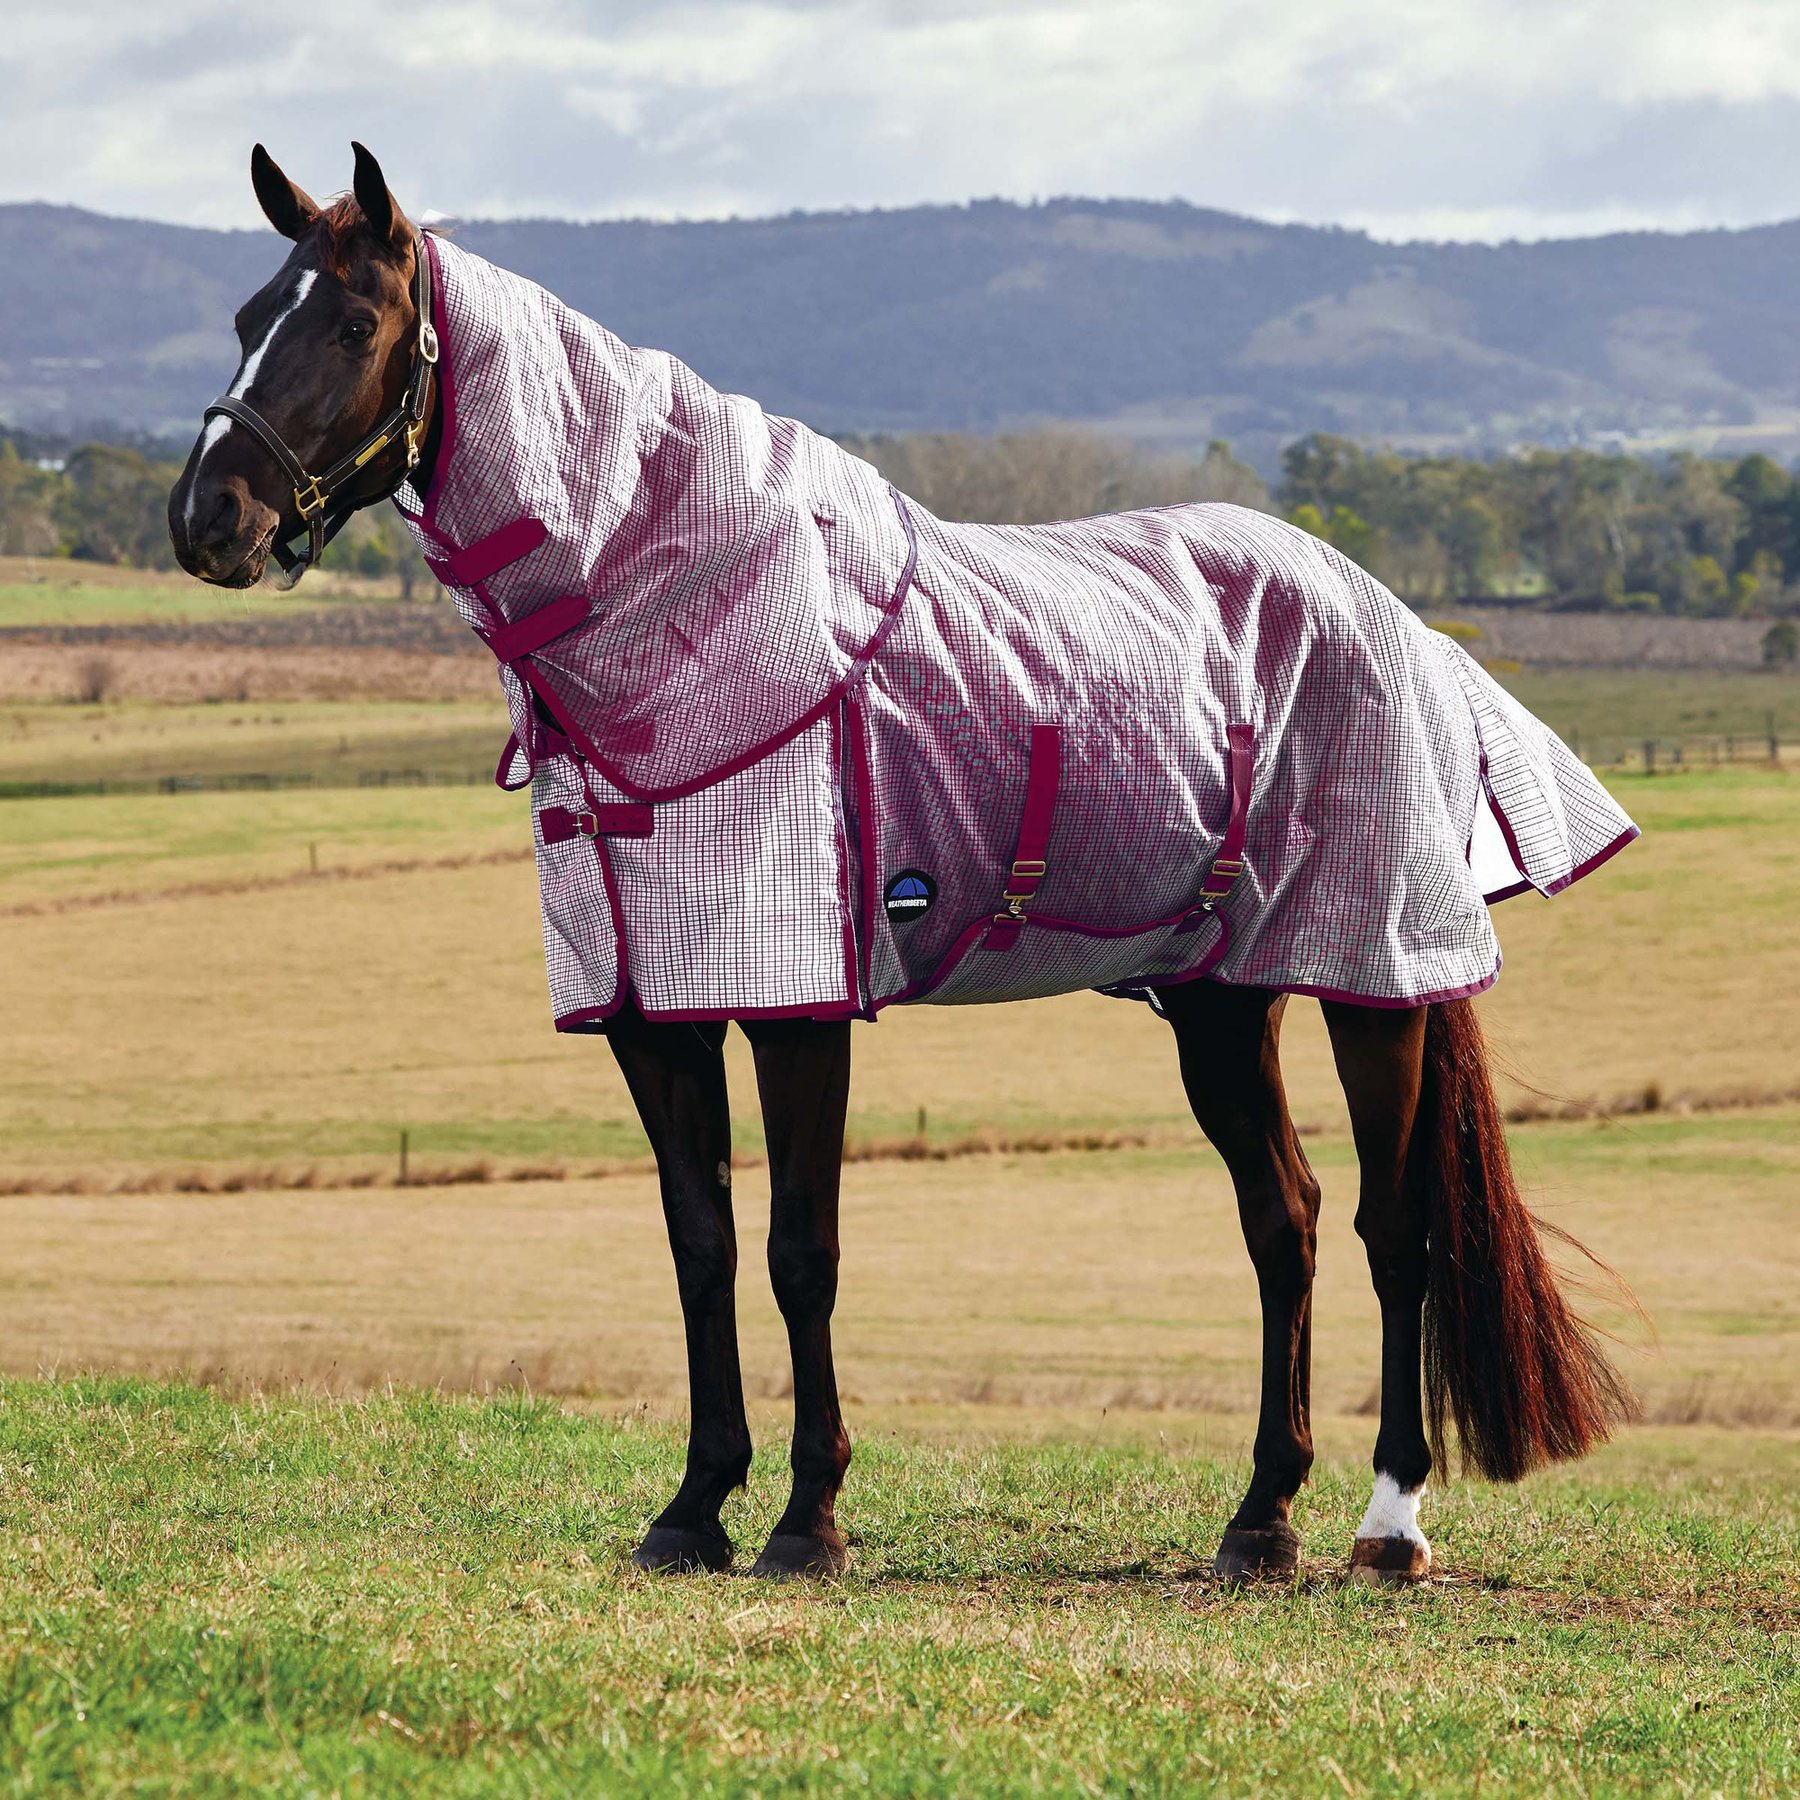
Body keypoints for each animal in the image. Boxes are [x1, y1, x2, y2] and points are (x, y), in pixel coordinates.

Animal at [169, 144, 1636, 1585]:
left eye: (354, 323)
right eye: (245, 318)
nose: (206, 519)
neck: (698, 622)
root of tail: (1401, 625)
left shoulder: (798, 1006)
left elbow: (799, 1252)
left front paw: (806, 1519)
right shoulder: (652, 1013)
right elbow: (700, 1247)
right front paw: (693, 1507)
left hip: (1374, 980)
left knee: (1397, 1230)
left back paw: (1389, 1527)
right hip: (1222, 1000)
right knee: (1287, 1220)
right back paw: (1260, 1519)